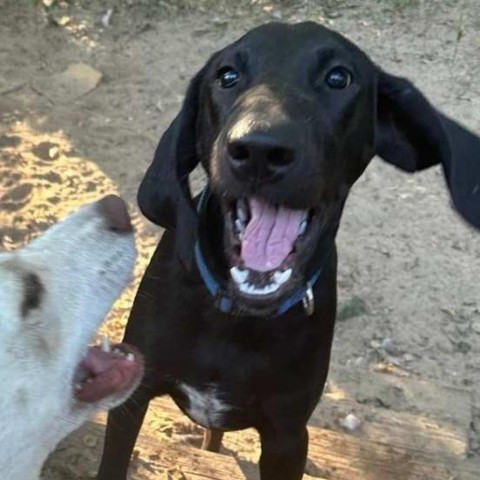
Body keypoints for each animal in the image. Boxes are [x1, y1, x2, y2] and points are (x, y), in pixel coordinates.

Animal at [97, 22, 480, 480]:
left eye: (339, 77)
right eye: (227, 76)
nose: (260, 150)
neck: (237, 317)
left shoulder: (288, 436)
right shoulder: (133, 397)